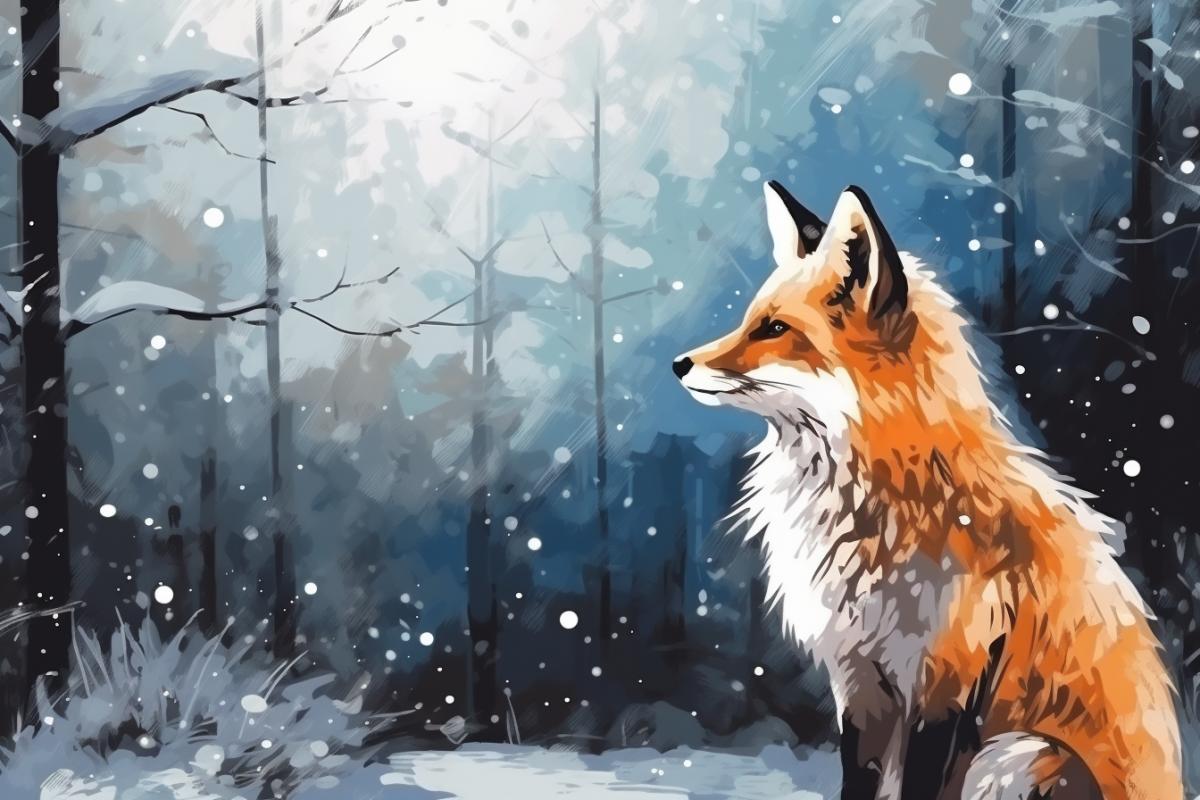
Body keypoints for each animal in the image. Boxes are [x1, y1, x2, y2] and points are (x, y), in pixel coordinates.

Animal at [673, 181, 1182, 800]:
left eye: (774, 329)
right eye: (750, 320)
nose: (678, 364)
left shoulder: (945, 678)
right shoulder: (859, 677)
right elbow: (860, 780)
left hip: (1017, 753)